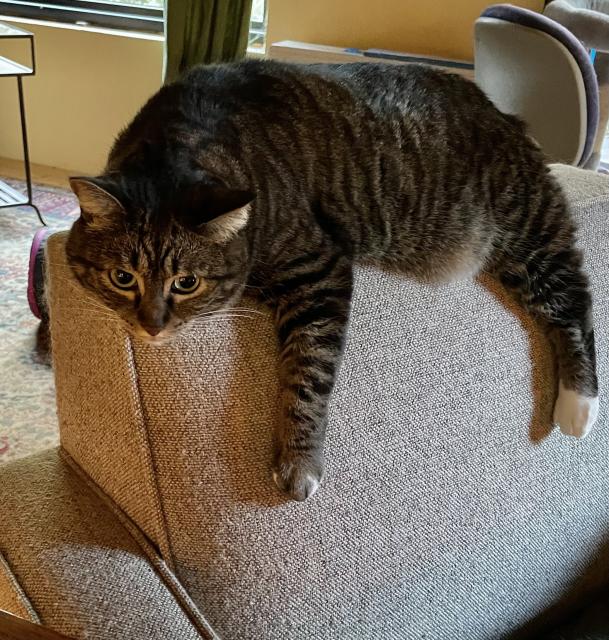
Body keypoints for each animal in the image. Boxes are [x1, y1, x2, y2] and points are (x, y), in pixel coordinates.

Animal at [64, 60, 596, 500]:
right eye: (122, 277)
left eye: (186, 283)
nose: (151, 326)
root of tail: (502, 111)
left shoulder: (318, 268)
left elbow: (308, 371)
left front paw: (298, 460)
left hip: (528, 231)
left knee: (573, 301)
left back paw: (578, 406)